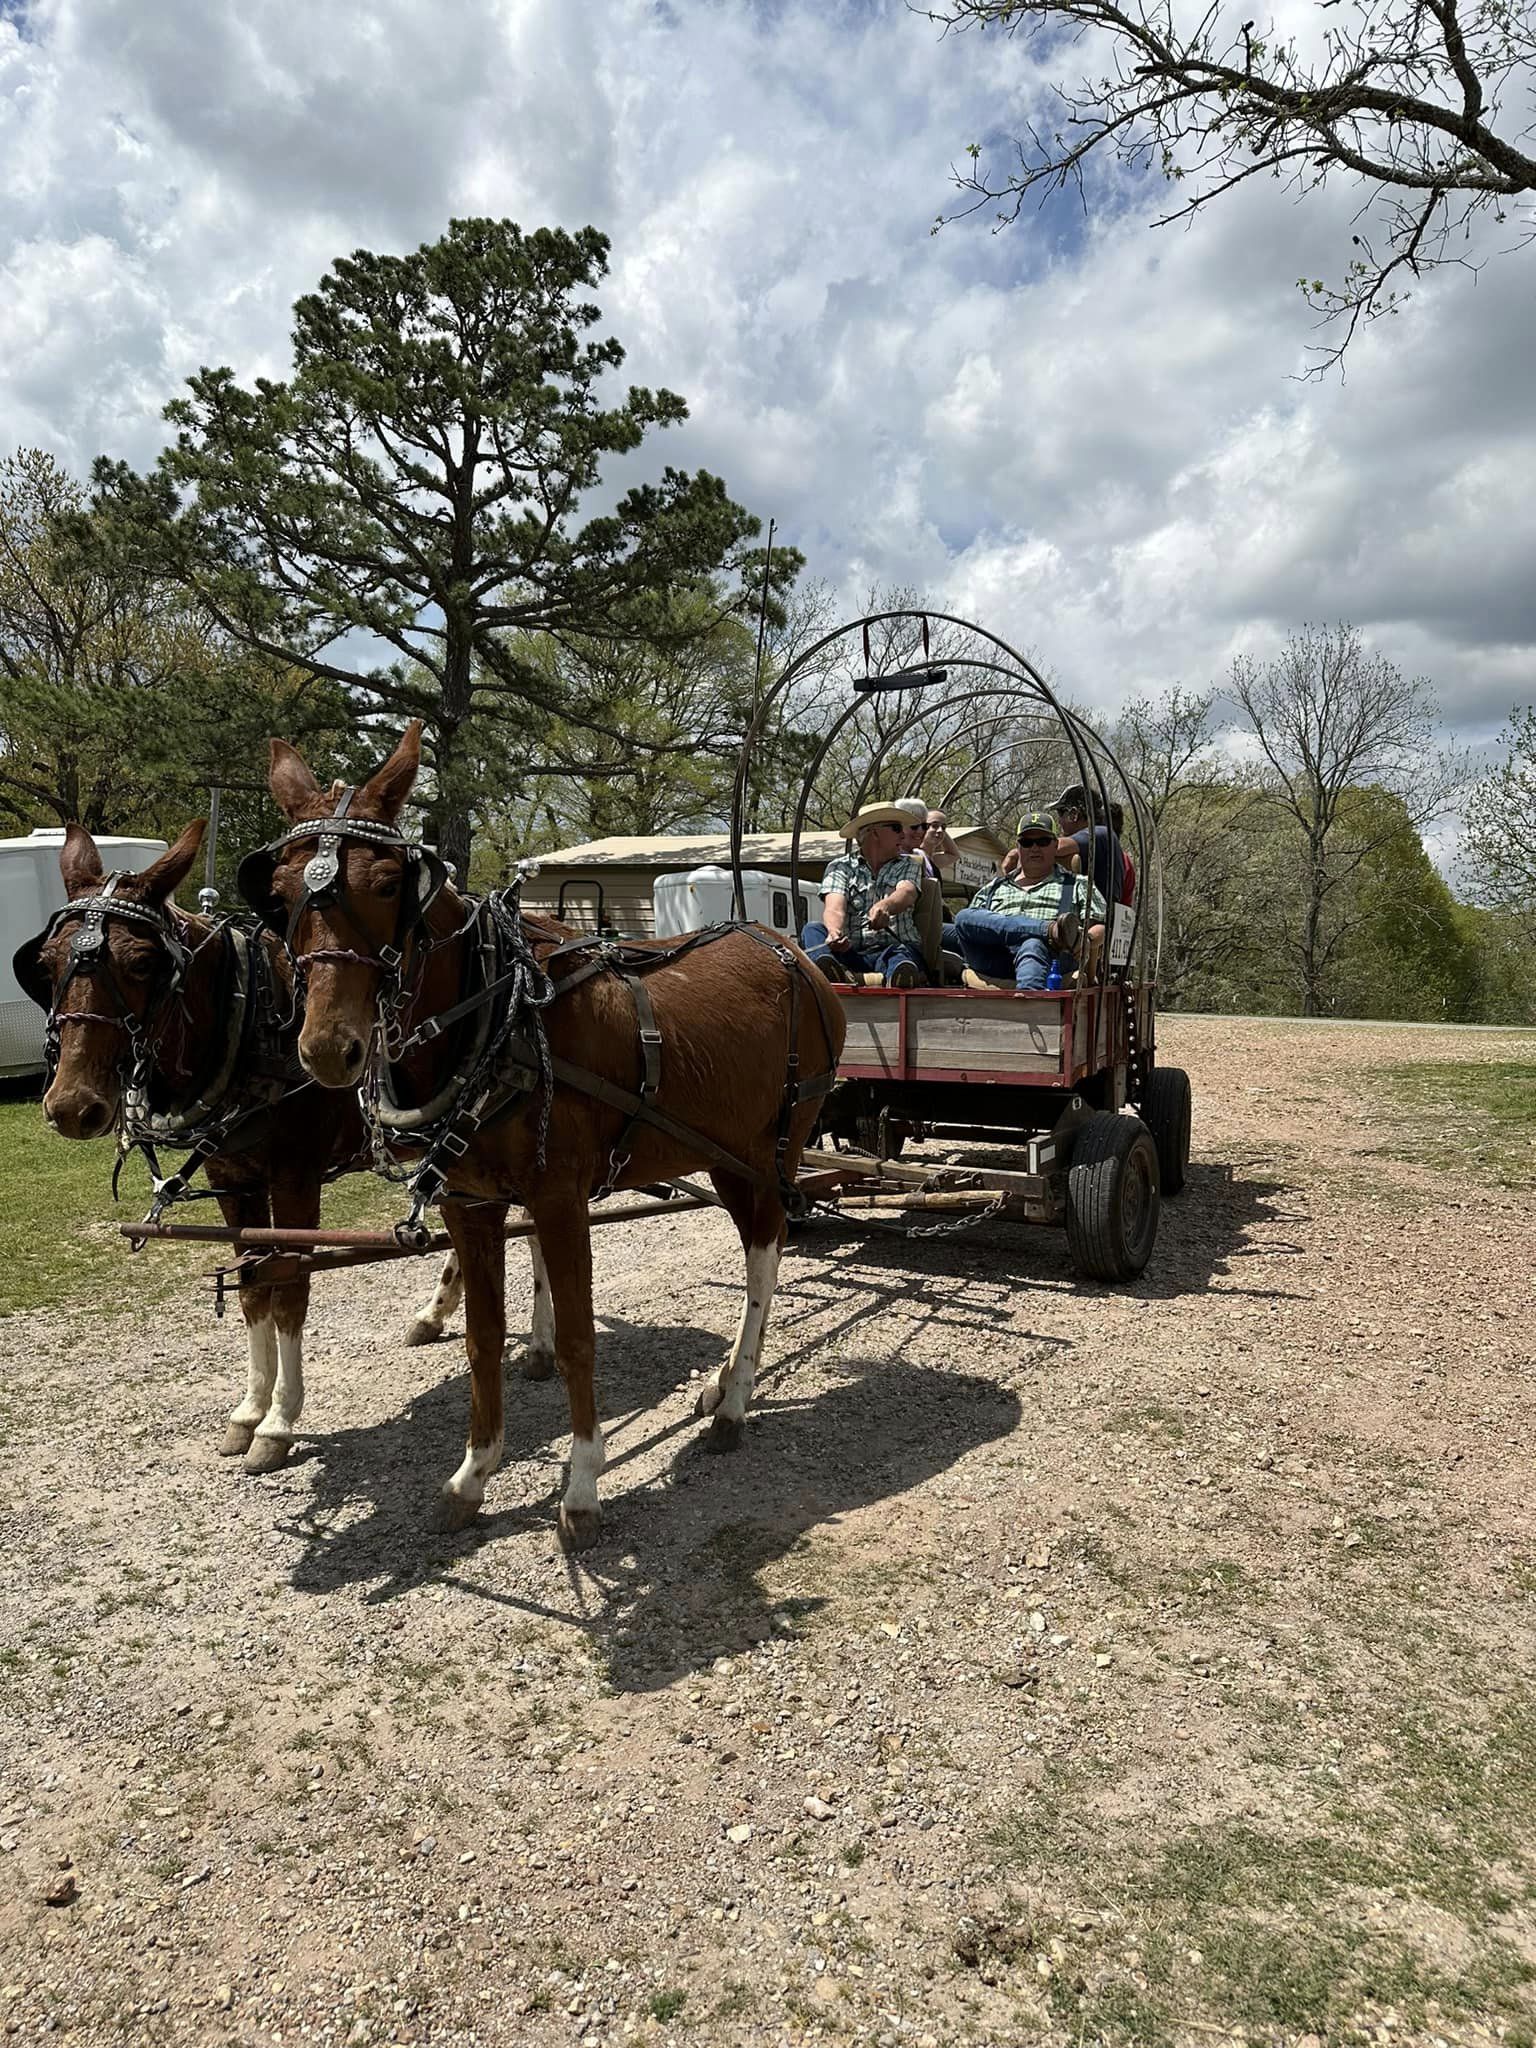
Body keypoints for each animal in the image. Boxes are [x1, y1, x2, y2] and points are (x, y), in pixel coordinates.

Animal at [12, 820, 546, 1469]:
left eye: (141, 962)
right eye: (45, 963)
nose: (72, 1105)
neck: (252, 1023)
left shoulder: (295, 1178)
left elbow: (290, 1288)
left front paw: (278, 1423)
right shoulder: (232, 1179)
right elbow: (252, 1290)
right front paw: (248, 1410)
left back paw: (542, 1343)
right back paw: (435, 1314)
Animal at [242, 721, 846, 1549]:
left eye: (391, 882)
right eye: (278, 895)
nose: (331, 1047)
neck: (501, 1022)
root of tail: (795, 954)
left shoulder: (560, 1200)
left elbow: (580, 1338)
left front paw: (583, 1484)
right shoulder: (470, 1204)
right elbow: (482, 1338)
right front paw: (473, 1474)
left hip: (774, 1147)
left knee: (766, 1255)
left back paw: (735, 1400)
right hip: (723, 1152)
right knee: (761, 1242)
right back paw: (724, 1382)